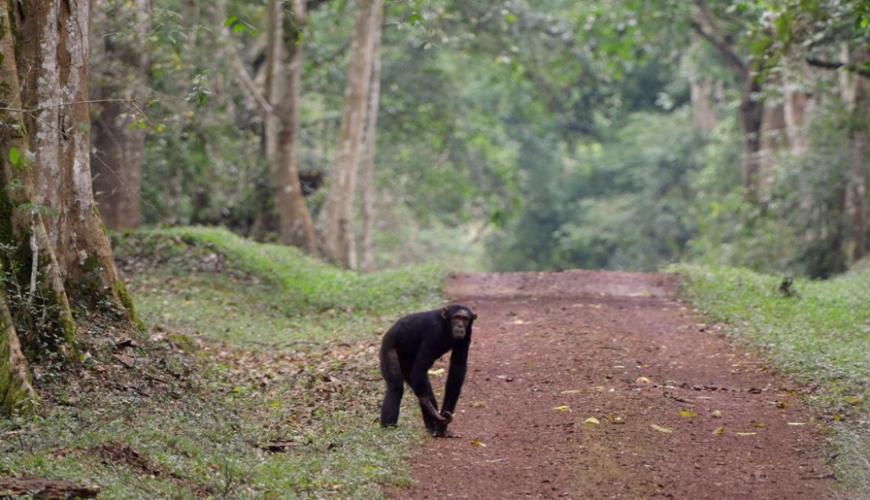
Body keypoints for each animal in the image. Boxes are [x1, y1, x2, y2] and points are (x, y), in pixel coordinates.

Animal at [380, 302, 476, 436]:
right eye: (456, 318)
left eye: (465, 319)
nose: (460, 325)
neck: (446, 326)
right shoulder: (434, 333)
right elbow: (421, 368)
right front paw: (431, 409)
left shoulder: (467, 334)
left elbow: (457, 368)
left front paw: (442, 426)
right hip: (388, 346)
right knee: (396, 386)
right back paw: (388, 429)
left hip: (407, 363)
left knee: (422, 384)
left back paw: (433, 428)